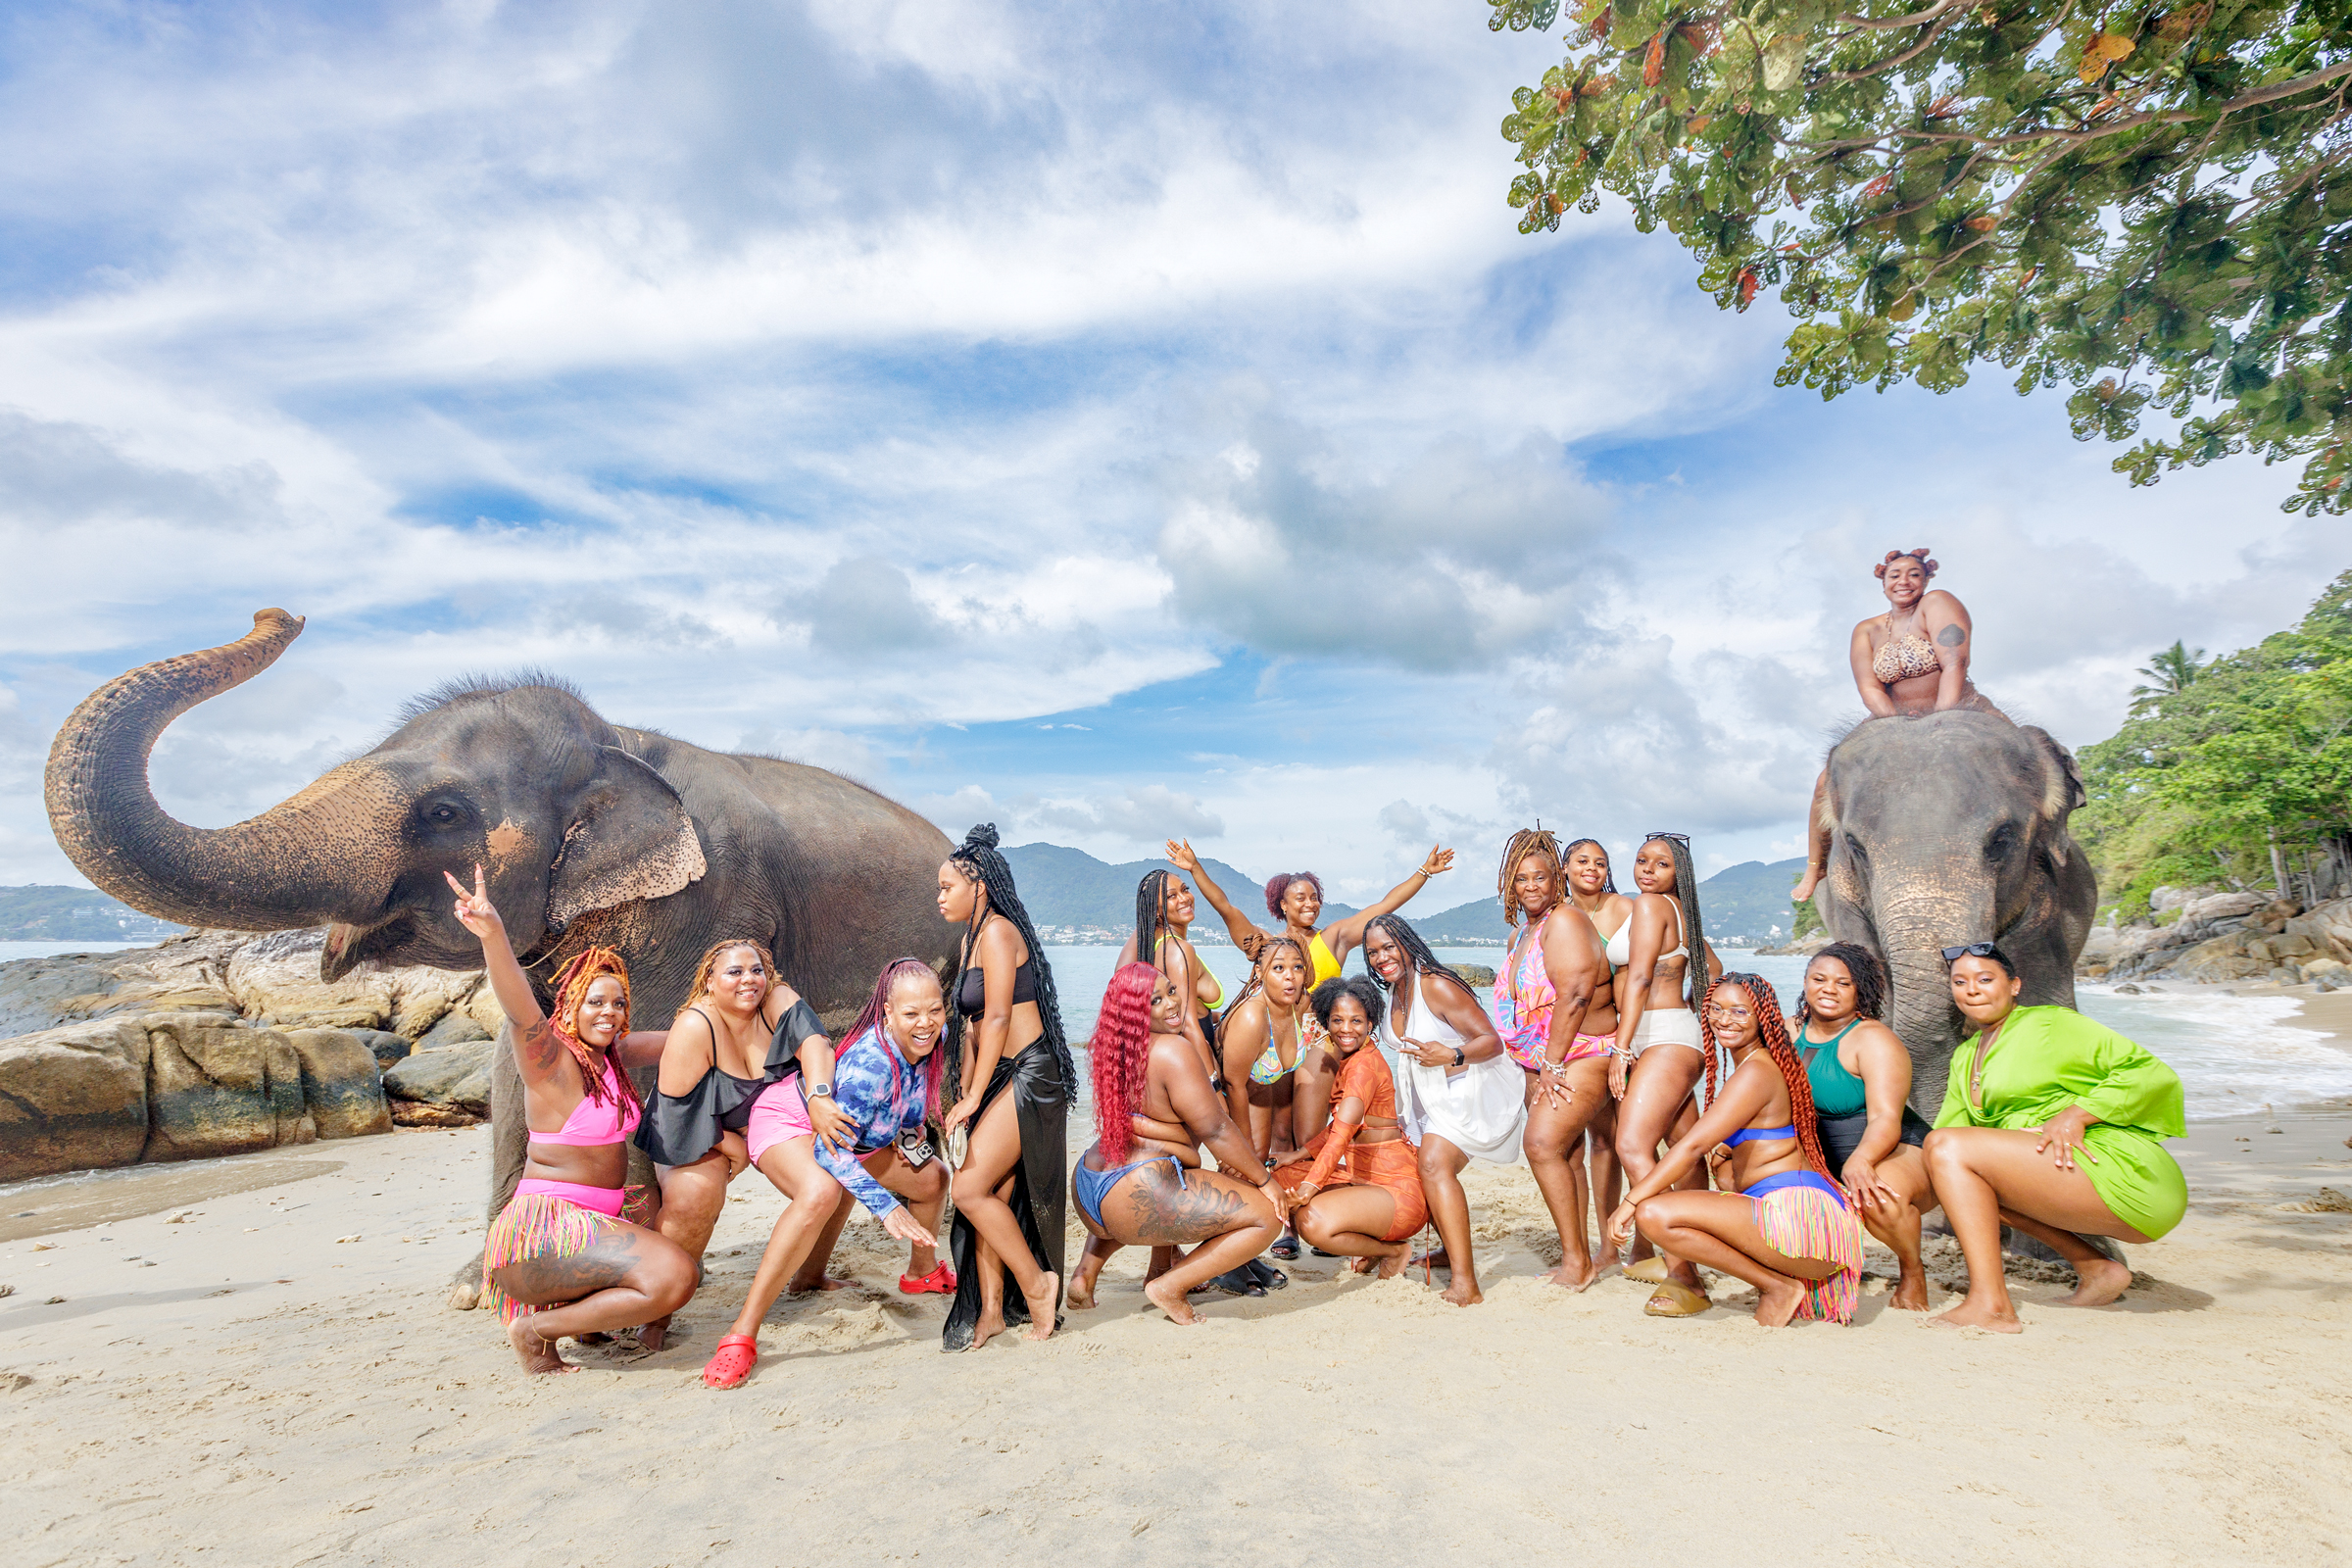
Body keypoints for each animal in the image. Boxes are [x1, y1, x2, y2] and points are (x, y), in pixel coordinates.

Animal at [45, 608, 956, 1218]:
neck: (617, 740)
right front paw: (481, 1289)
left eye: (444, 812)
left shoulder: (700, 899)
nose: (280, 613)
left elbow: (648, 1050)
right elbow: (524, 1061)